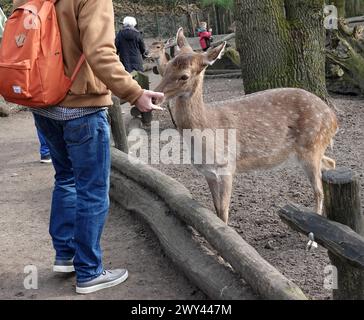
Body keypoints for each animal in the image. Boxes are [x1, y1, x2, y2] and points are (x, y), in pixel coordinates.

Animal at [154, 27, 338, 224]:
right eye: (167, 67)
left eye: (184, 76)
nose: (155, 96)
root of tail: (334, 120)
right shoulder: (208, 173)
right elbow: (216, 211)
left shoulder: (227, 167)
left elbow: (224, 212)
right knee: (330, 164)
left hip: (312, 145)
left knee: (318, 191)